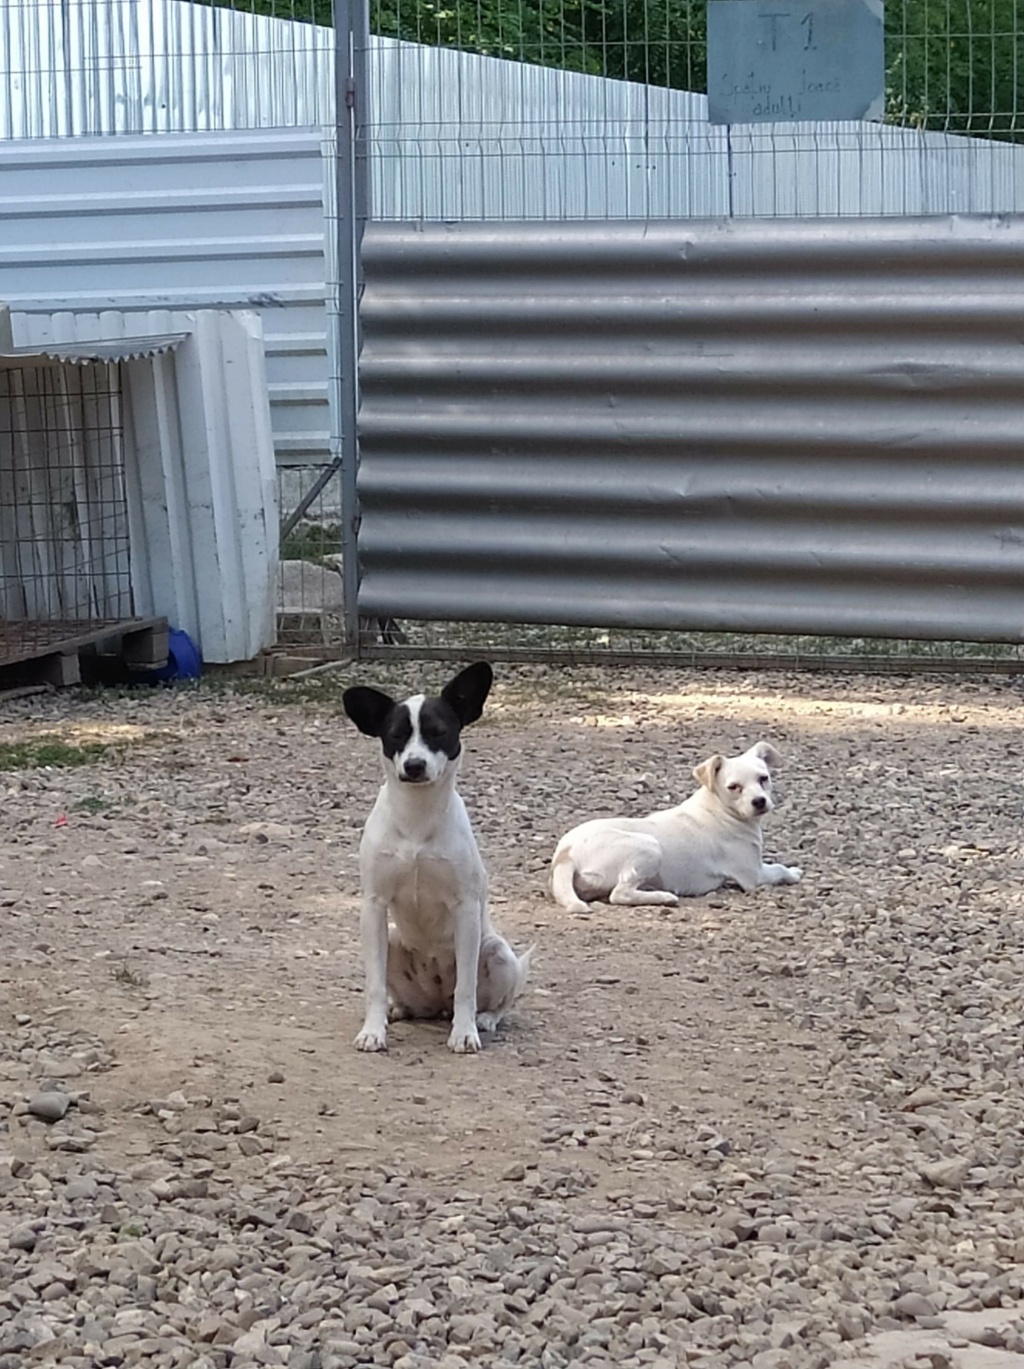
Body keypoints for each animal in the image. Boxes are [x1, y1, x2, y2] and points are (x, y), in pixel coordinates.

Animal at [343, 662, 536, 1056]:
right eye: (396, 735)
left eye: (439, 733)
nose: (415, 765)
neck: (417, 820)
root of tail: (437, 1003)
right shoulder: (373, 906)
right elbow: (374, 985)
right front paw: (373, 1031)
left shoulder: (465, 908)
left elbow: (466, 988)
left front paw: (464, 1033)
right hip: (392, 940)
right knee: (406, 999)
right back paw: (398, 1010)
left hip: (496, 952)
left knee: (498, 1001)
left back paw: (484, 1019)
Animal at [553, 739, 799, 909]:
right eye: (734, 787)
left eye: (763, 778)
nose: (759, 801)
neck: (721, 809)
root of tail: (565, 854)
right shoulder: (754, 875)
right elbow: (779, 869)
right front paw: (793, 873)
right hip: (648, 846)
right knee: (620, 894)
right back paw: (664, 897)